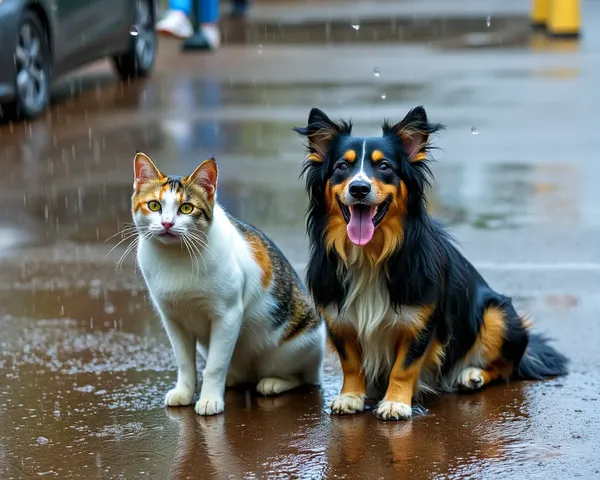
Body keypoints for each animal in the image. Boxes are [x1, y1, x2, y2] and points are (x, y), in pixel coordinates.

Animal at [131, 152, 326, 414]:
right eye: (154, 205)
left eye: (186, 208)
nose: (167, 224)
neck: (176, 256)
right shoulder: (172, 319)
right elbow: (184, 362)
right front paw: (184, 391)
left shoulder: (228, 315)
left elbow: (216, 365)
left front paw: (210, 398)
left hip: (293, 347)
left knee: (303, 377)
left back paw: (273, 383)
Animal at [292, 106, 568, 420]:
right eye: (341, 166)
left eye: (384, 166)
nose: (359, 188)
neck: (371, 254)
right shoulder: (338, 316)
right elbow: (351, 362)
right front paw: (350, 397)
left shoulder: (422, 320)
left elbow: (405, 365)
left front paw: (395, 403)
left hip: (498, 314)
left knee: (506, 366)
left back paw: (472, 374)